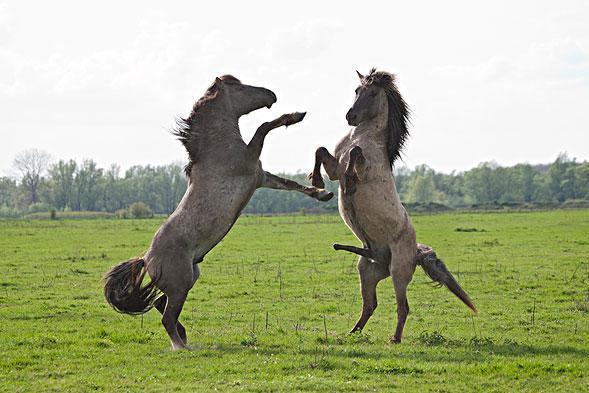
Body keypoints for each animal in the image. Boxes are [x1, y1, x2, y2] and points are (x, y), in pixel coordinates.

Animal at [104, 74, 334, 350]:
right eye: (239, 87)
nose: (272, 94)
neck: (217, 149)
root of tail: (146, 259)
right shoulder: (250, 161)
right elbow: (264, 126)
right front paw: (294, 116)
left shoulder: (260, 177)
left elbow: (290, 184)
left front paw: (322, 192)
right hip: (181, 284)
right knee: (167, 317)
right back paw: (181, 347)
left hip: (189, 279)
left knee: (161, 304)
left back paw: (184, 337)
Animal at [310, 69, 476, 344]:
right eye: (357, 90)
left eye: (372, 94)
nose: (350, 116)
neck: (362, 135)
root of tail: (416, 252)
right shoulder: (334, 168)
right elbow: (321, 150)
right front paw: (316, 181)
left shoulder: (361, 166)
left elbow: (355, 154)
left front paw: (350, 183)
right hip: (367, 271)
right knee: (370, 305)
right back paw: (352, 333)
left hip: (398, 273)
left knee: (402, 306)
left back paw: (394, 339)